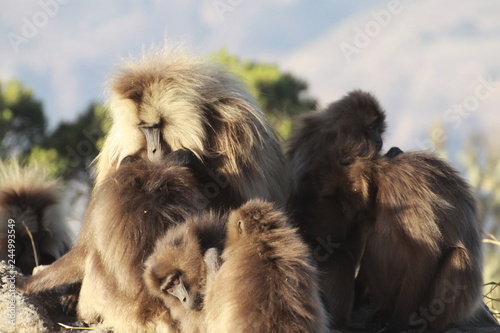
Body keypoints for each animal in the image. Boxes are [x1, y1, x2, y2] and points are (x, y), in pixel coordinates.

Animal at [96, 44, 288, 205]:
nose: (153, 150)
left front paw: (183, 158)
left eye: (155, 127)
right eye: (143, 128)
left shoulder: (237, 131)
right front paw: (129, 161)